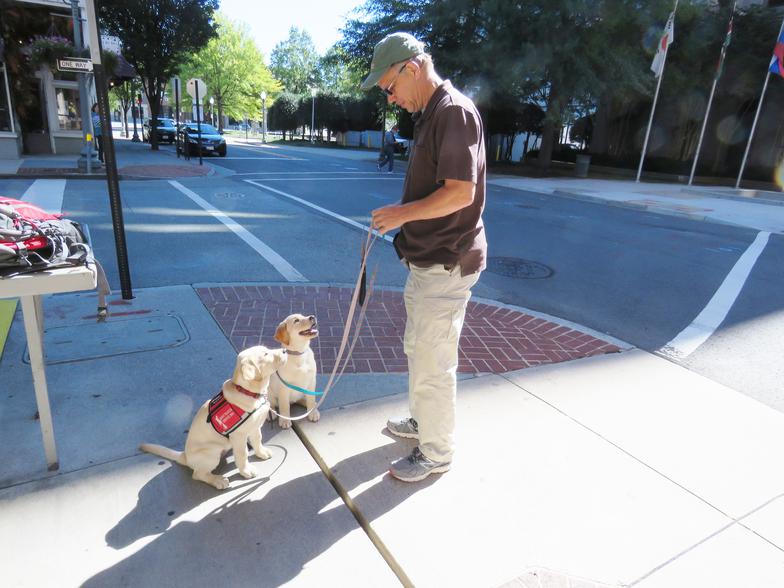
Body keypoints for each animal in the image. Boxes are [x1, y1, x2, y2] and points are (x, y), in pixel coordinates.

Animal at [140, 346, 284, 490]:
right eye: (266, 354)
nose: (284, 351)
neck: (249, 392)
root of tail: (185, 456)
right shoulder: (239, 436)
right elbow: (242, 455)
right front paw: (246, 471)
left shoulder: (255, 427)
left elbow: (258, 440)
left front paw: (261, 452)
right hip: (211, 453)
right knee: (198, 474)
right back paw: (218, 480)